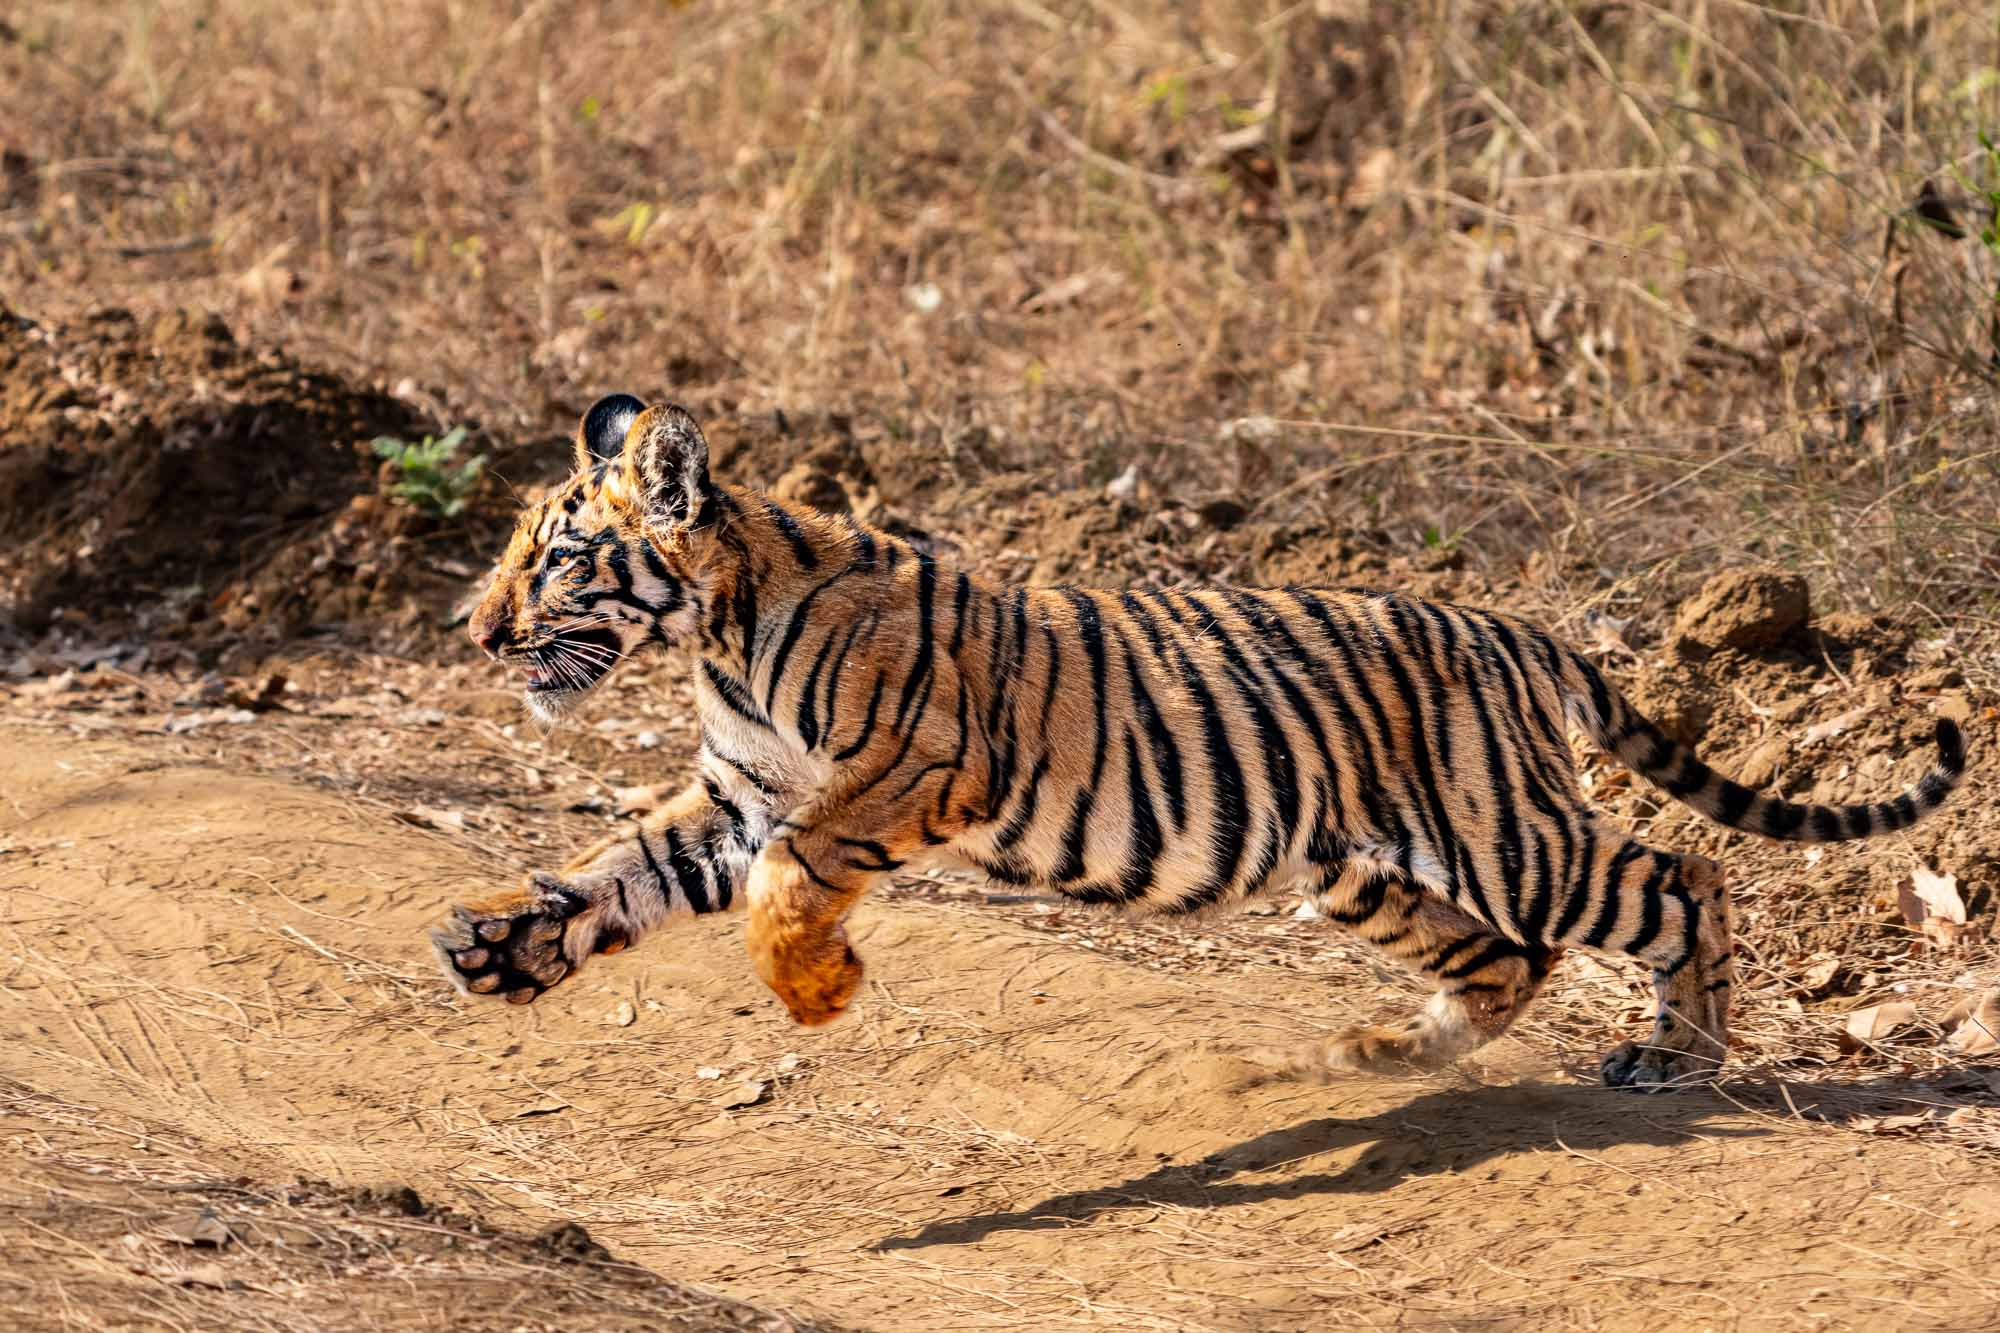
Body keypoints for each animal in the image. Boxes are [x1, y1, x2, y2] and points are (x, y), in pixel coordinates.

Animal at [431, 393, 1966, 1089]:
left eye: (556, 557)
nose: (475, 629)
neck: (721, 634)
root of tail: (1520, 632)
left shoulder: (903, 770)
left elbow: (791, 878)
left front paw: (818, 991)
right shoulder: (735, 792)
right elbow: (618, 868)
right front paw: (504, 946)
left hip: (1505, 836)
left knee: (1684, 881)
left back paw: (1677, 1061)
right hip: (1359, 865)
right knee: (1507, 959)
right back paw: (1385, 1051)